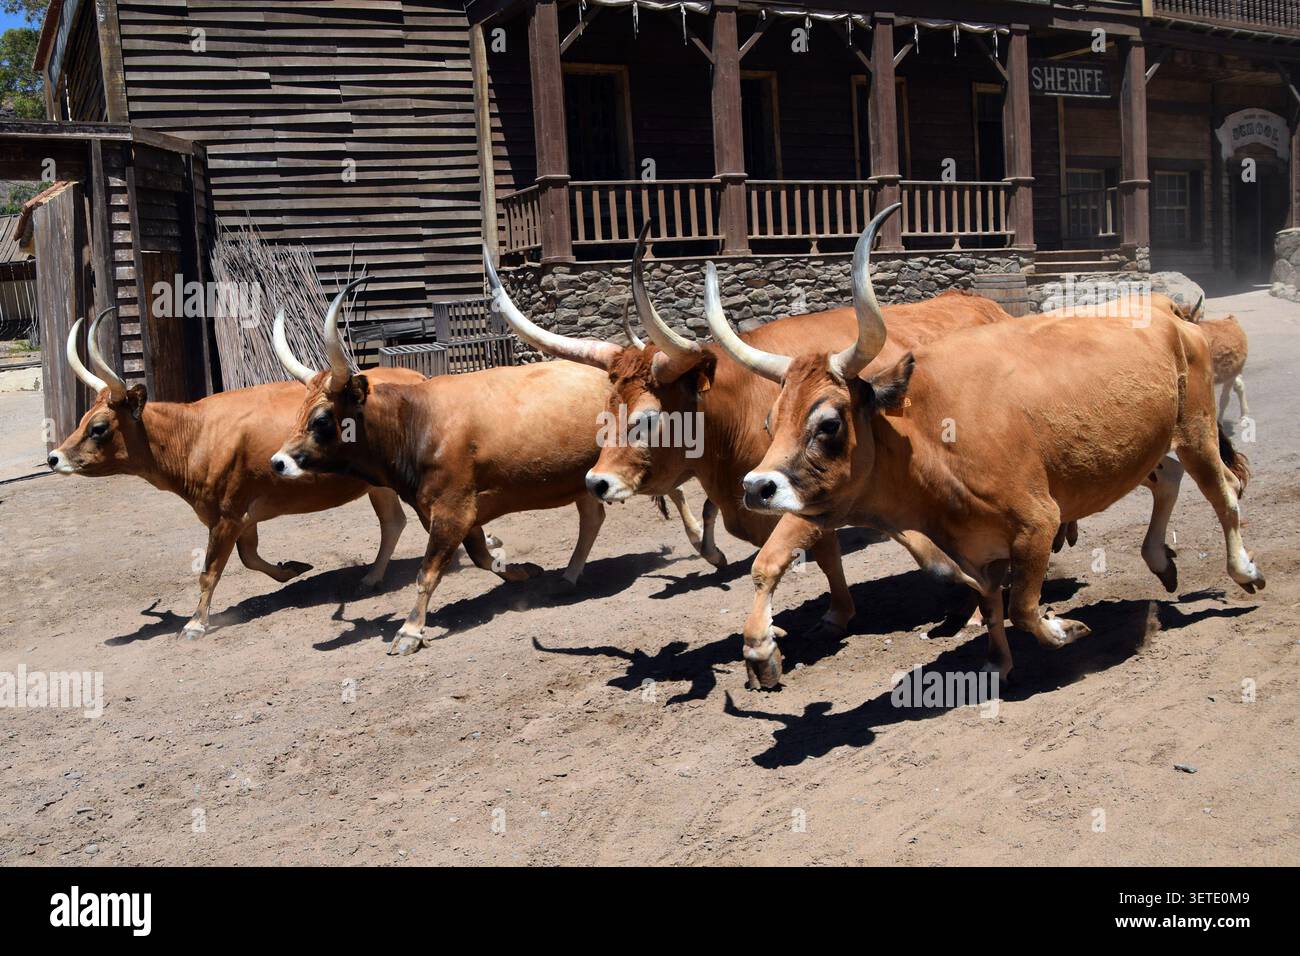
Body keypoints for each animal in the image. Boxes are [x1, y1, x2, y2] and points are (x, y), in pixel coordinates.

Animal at [47, 306, 435, 641]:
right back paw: (371, 578)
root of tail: (416, 376)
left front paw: (195, 623)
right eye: (82, 419)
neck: (195, 433)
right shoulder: (243, 515)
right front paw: (291, 569)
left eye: (99, 427)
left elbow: (209, 572)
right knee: (392, 522)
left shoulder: (226, 515)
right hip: (378, 486)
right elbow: (250, 558)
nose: (54, 457)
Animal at [268, 276, 710, 656]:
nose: (278, 462)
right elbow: (481, 555)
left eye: (322, 419)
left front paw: (410, 631)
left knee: (672, 489)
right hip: (585, 476)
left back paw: (699, 541)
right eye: (301, 411)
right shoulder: (453, 509)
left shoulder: (453, 509)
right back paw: (569, 575)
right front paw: (520, 570)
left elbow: (428, 572)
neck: (417, 421)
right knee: (594, 518)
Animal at [485, 229, 1019, 655]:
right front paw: (835, 613)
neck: (741, 410)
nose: (596, 482)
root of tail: (982, 303)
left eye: (648, 418)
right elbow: (822, 555)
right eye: (606, 407)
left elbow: (790, 554)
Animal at [704, 203, 1265, 687]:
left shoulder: (1038, 521)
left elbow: (1023, 608)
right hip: (1140, 447)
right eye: (771, 420)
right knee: (1169, 477)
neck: (929, 440)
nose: (757, 487)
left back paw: (1244, 571)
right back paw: (1161, 562)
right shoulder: (975, 550)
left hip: (1195, 429)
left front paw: (1064, 629)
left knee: (1224, 493)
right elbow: (995, 604)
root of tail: (1163, 306)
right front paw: (998, 664)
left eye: (828, 423)